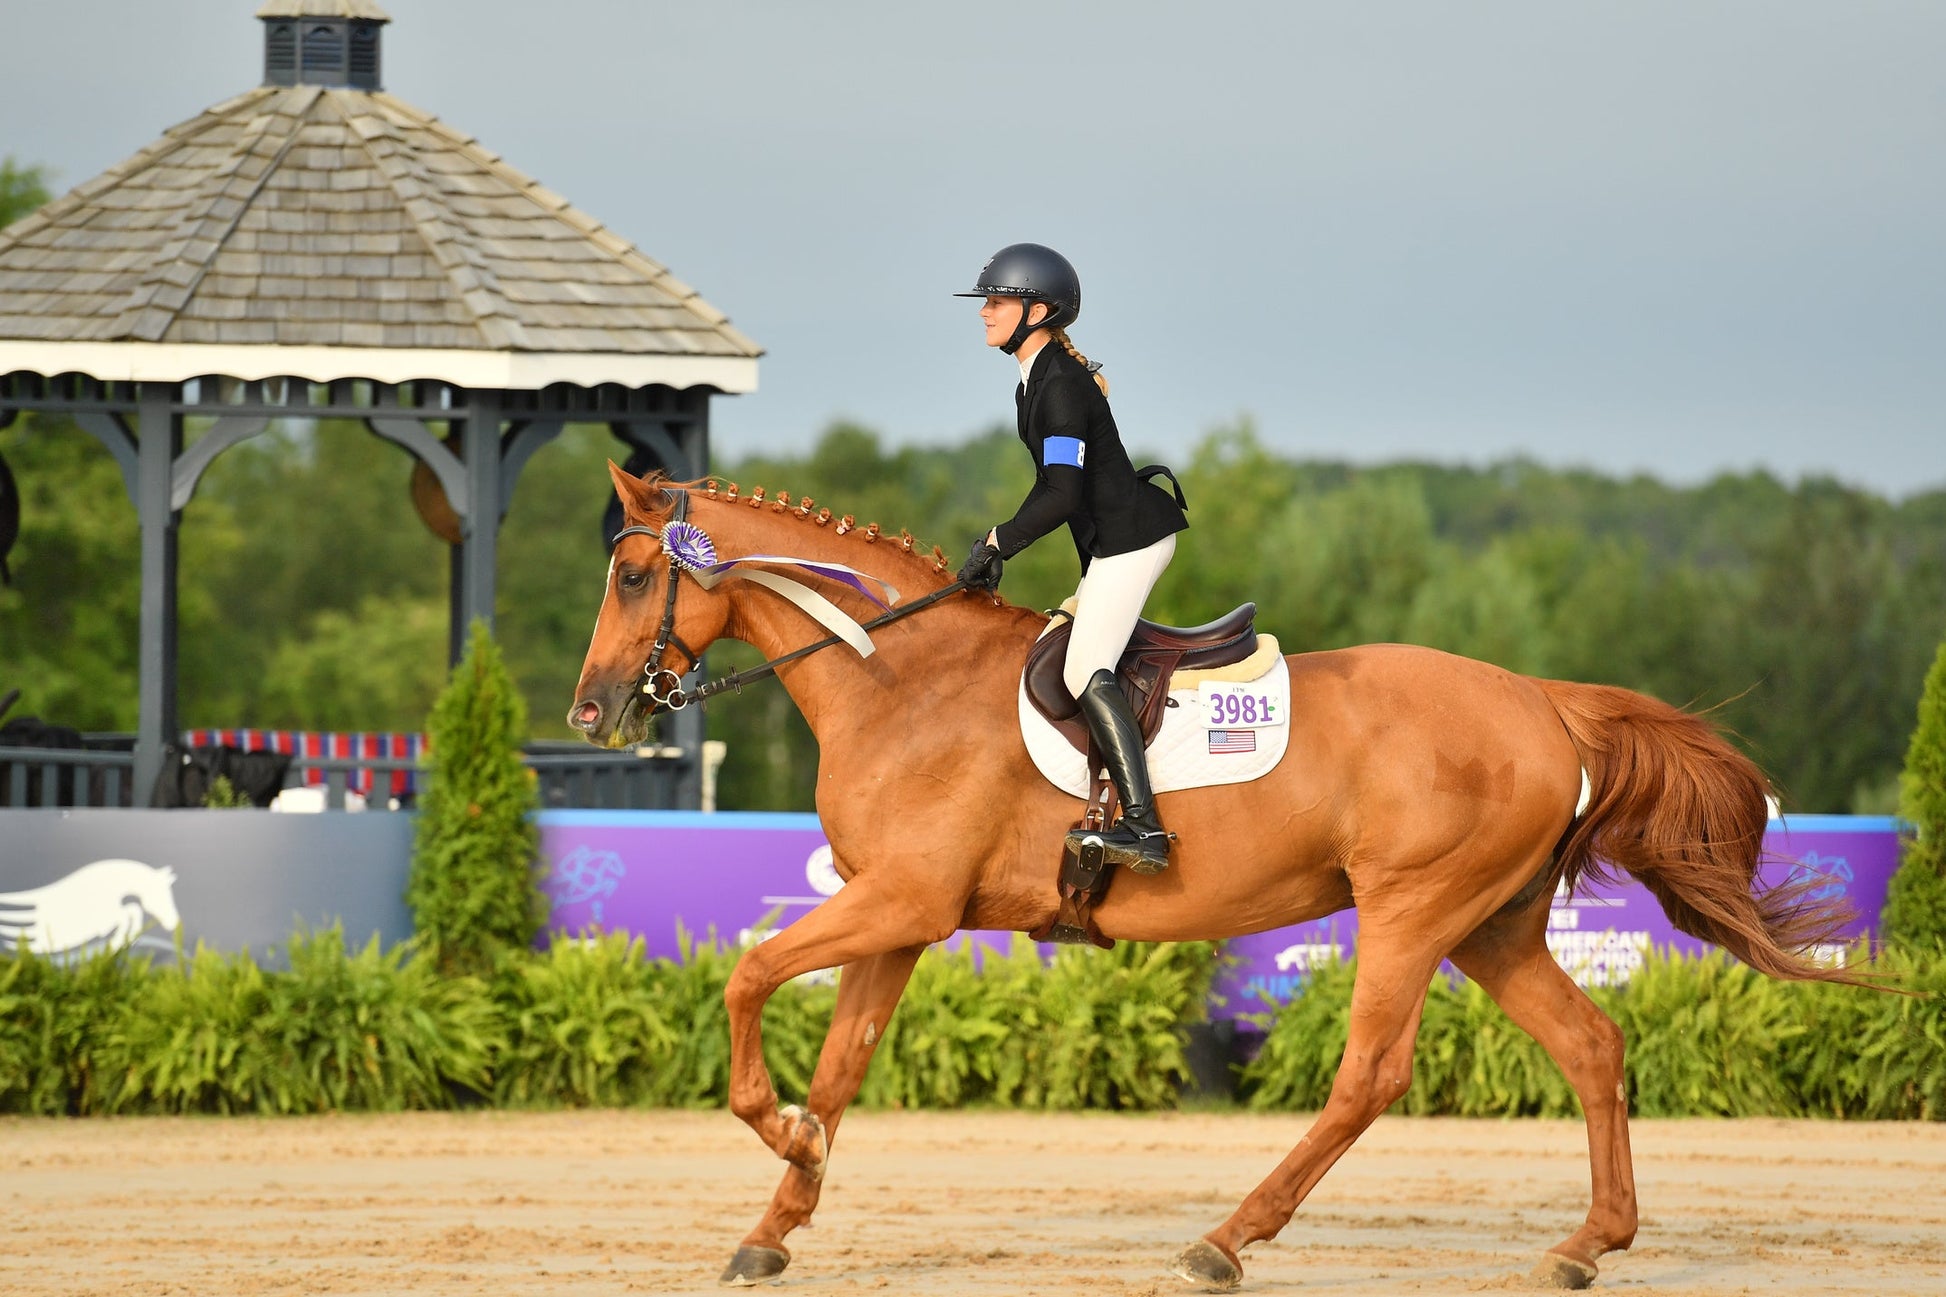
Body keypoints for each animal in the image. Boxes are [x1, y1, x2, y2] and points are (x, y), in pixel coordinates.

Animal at [570, 464, 1862, 1292]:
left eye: (632, 579)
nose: (593, 711)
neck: (900, 679)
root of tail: (1544, 704)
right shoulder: (895, 917)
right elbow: (839, 1063)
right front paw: (780, 1211)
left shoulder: (901, 902)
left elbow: (745, 980)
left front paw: (778, 1133)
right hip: (1490, 924)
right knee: (1590, 1045)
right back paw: (1584, 1245)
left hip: (1411, 908)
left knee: (1366, 1074)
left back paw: (1223, 1242)